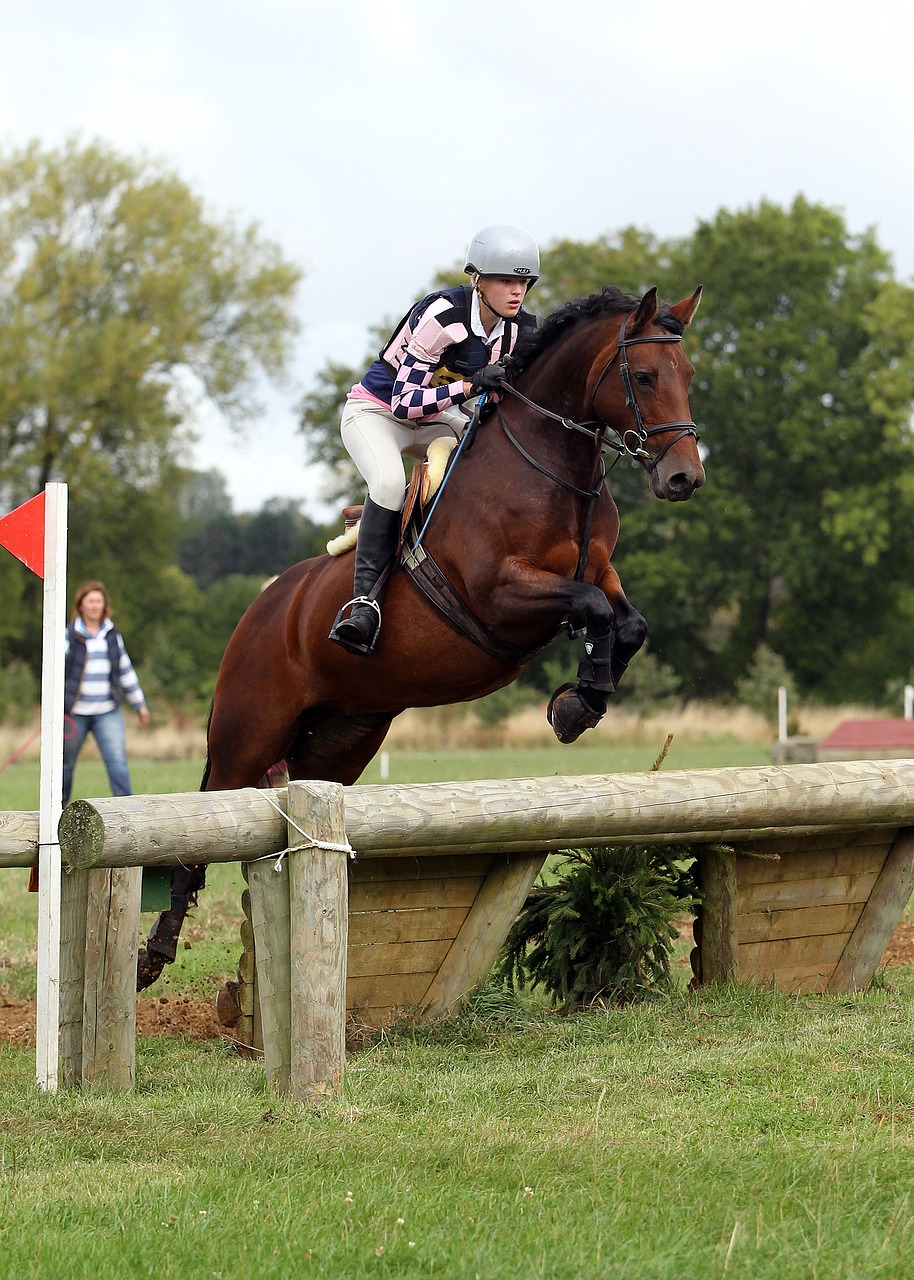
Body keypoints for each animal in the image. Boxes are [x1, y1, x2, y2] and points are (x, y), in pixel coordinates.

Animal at [135, 282, 706, 988]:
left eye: (689, 374)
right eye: (646, 375)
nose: (684, 477)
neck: (551, 468)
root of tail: (261, 606)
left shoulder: (597, 569)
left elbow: (626, 621)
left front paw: (582, 700)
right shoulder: (500, 594)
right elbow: (595, 609)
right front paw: (575, 704)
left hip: (341, 740)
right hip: (250, 729)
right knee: (203, 825)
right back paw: (153, 955)